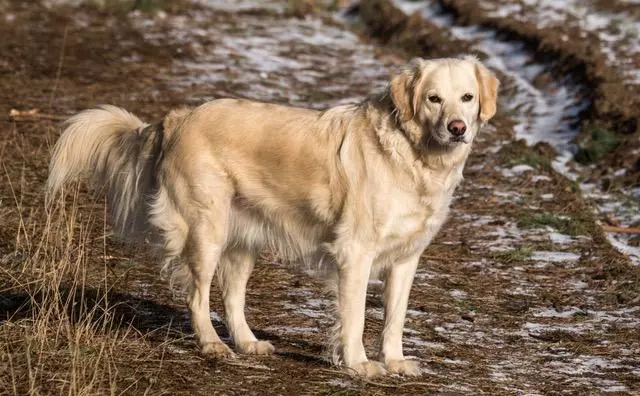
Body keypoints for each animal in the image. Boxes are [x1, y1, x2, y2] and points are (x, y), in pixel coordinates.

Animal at [48, 55, 500, 378]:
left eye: (467, 98)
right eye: (433, 99)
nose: (457, 128)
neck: (412, 153)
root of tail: (177, 118)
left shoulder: (406, 259)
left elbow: (395, 318)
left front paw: (394, 361)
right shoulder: (355, 253)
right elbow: (354, 316)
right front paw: (358, 364)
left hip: (243, 240)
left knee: (232, 298)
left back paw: (248, 343)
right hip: (206, 231)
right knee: (198, 296)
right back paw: (213, 346)